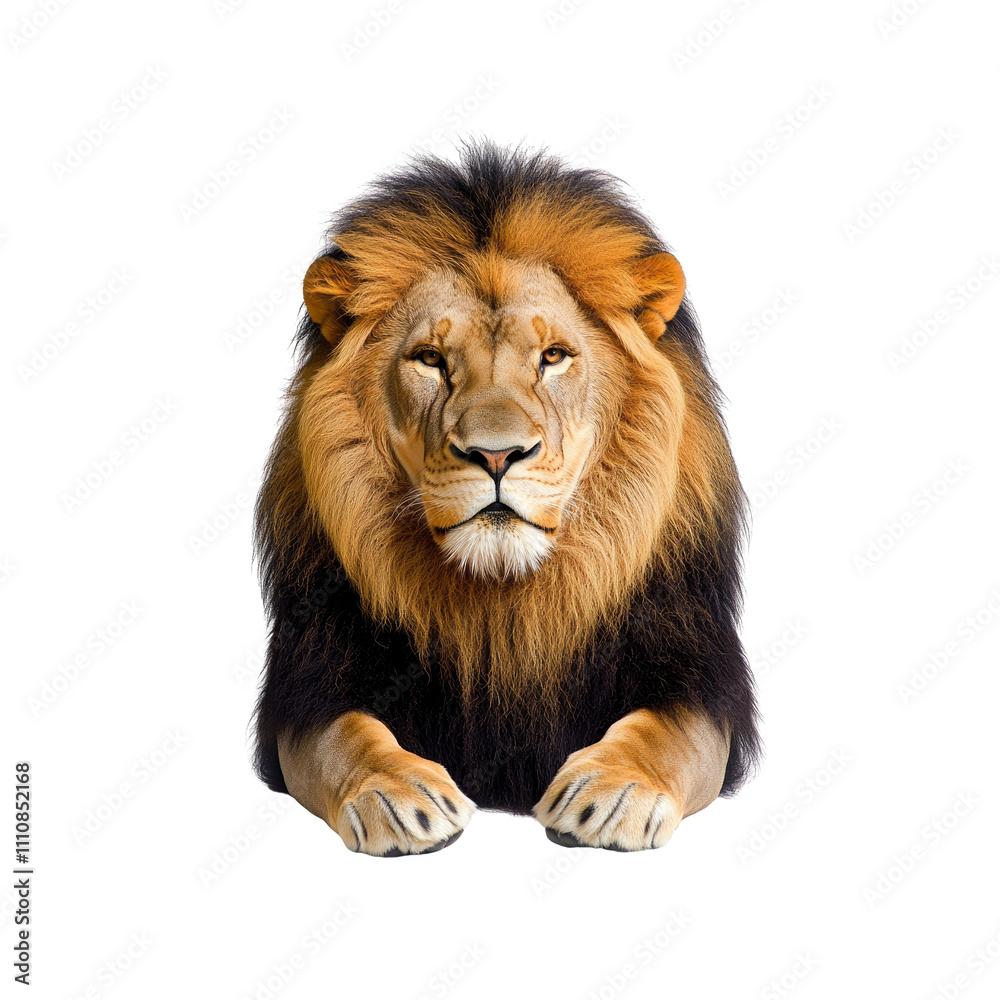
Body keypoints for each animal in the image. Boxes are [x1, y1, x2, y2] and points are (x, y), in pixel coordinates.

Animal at [252, 143, 760, 856]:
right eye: (431, 359)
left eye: (553, 356)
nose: (496, 456)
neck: (503, 604)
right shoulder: (307, 690)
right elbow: (346, 739)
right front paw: (398, 794)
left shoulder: (700, 680)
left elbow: (667, 734)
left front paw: (612, 793)